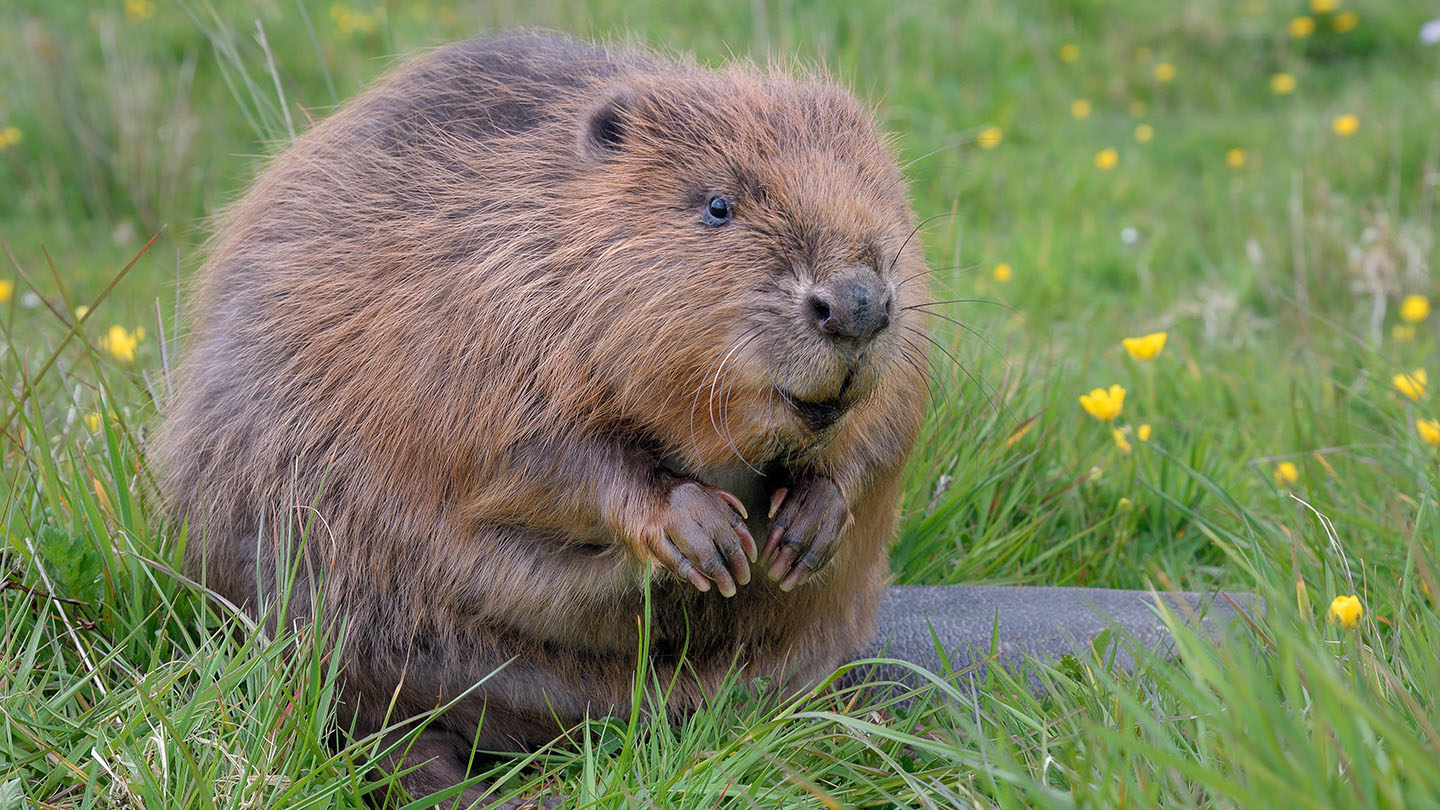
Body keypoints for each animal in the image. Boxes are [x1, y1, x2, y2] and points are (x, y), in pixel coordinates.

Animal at [151, 29, 927, 801]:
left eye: (876, 189)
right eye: (717, 205)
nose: (857, 302)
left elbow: (886, 427)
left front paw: (807, 524)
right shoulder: (474, 309)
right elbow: (533, 456)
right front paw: (703, 533)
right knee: (364, 715)